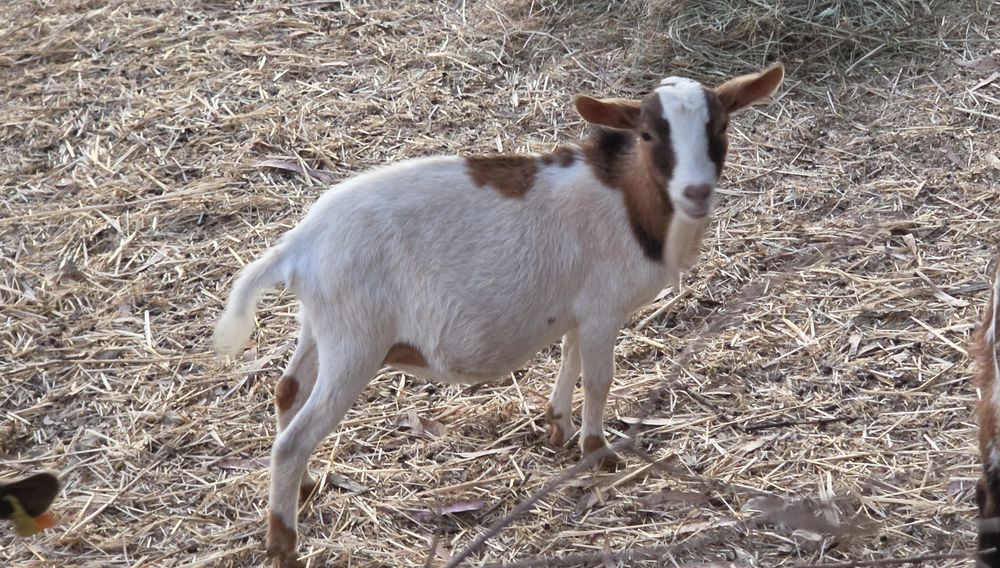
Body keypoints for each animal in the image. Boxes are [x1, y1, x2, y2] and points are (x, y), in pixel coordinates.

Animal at [214, 63, 785, 568]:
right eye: (647, 133)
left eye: (721, 126)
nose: (696, 192)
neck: (626, 200)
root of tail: (300, 245)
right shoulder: (603, 308)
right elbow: (598, 378)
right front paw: (599, 452)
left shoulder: (578, 309)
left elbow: (570, 360)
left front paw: (557, 426)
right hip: (355, 344)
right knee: (293, 440)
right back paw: (284, 544)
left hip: (322, 326)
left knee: (288, 390)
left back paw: (307, 486)